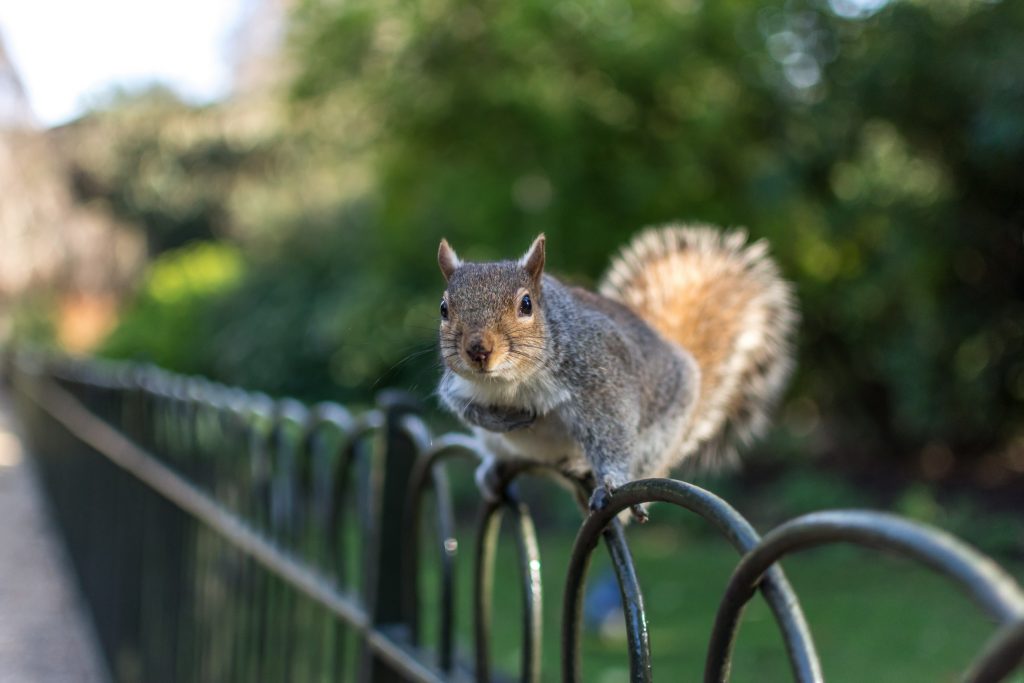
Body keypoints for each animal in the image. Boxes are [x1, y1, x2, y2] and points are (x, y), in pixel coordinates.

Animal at [436, 224, 797, 521]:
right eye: (444, 309)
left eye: (526, 305)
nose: (478, 350)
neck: (510, 382)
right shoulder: (456, 385)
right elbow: (463, 408)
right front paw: (501, 419)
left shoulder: (600, 379)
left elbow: (612, 430)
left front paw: (610, 481)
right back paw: (492, 470)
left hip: (658, 438)